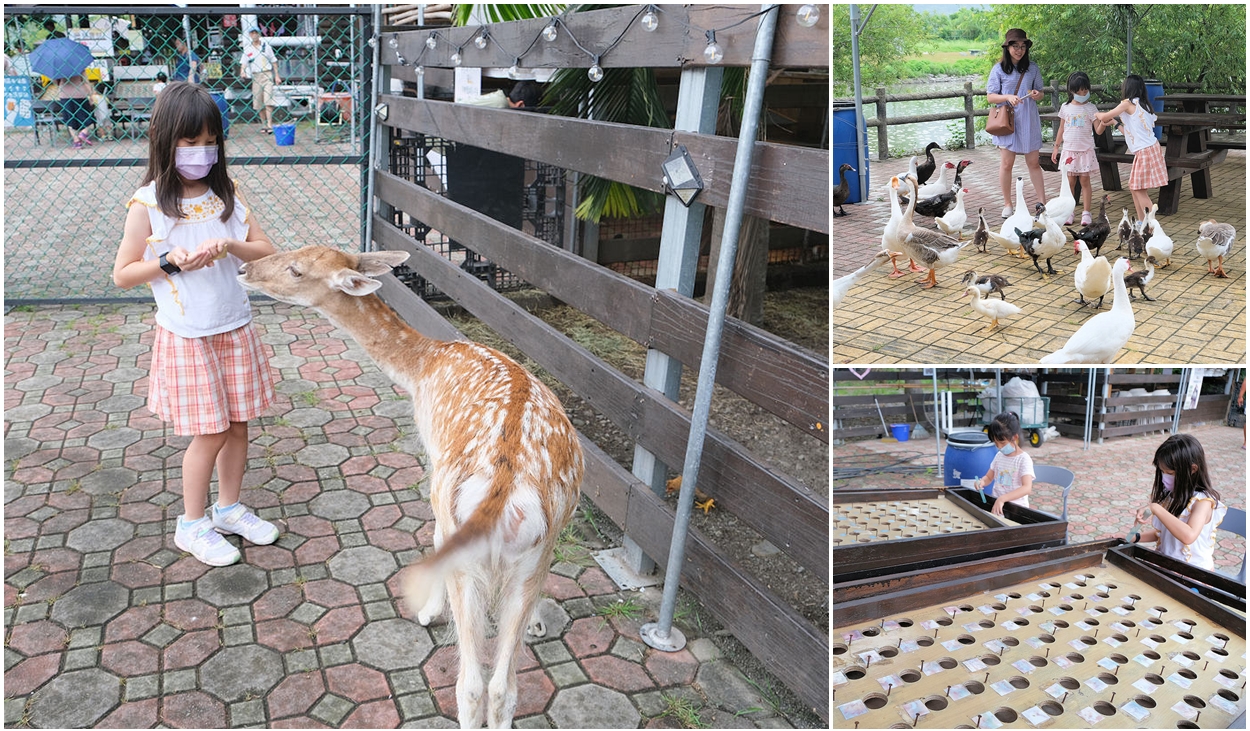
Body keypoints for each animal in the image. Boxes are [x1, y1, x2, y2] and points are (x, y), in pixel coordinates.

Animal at [240, 244, 585, 724]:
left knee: (471, 685)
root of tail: (504, 495)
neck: (423, 367)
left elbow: (433, 537)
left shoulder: (435, 471)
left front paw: (428, 612)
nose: (243, 268)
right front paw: (537, 622)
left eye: (296, 269)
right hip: (534, 547)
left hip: (464, 544)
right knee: (504, 688)